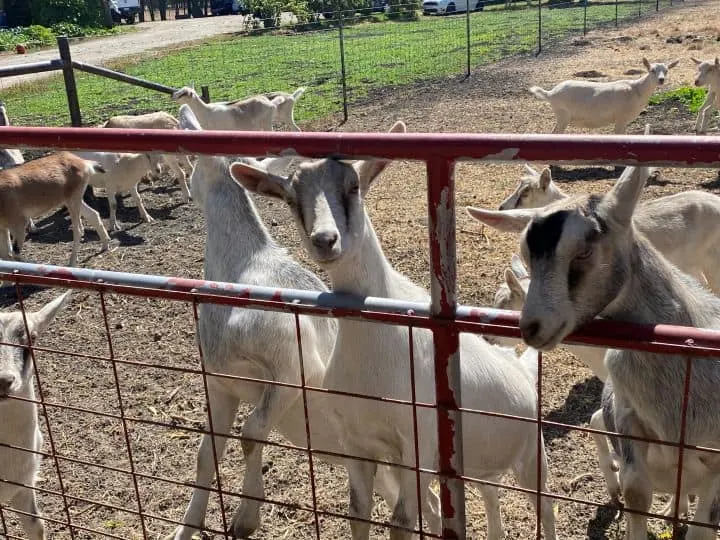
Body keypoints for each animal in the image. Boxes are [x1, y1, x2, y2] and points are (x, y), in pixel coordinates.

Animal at [167, 106, 438, 540]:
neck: (245, 269)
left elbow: (251, 433)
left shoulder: (294, 365)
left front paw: (247, 517)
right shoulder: (220, 381)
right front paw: (185, 528)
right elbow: (207, 453)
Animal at [528, 58, 680, 134]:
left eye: (666, 70)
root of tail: (551, 93)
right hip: (563, 115)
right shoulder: (621, 118)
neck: (637, 90)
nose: (661, 80)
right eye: (652, 70)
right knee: (555, 133)